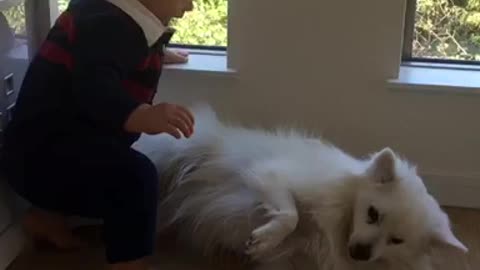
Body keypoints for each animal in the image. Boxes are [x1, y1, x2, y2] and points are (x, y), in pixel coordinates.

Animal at [133, 104, 466, 270]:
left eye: (397, 240)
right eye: (372, 214)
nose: (360, 253)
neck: (334, 229)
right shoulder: (270, 176)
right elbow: (289, 215)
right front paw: (265, 238)